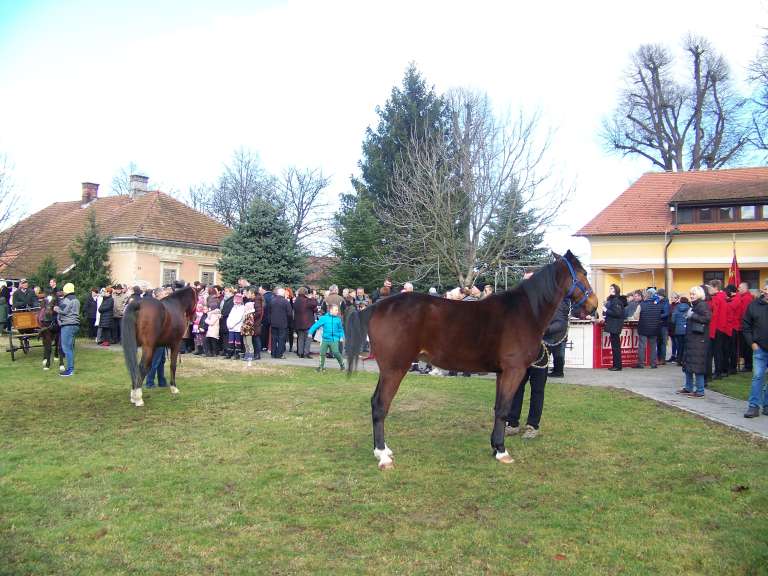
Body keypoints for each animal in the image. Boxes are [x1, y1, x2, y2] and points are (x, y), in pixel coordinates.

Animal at [344, 251, 596, 468]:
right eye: (583, 273)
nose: (594, 305)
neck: (525, 311)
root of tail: (376, 306)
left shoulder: (503, 372)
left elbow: (498, 407)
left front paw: (495, 446)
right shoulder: (514, 370)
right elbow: (503, 409)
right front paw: (502, 451)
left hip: (388, 370)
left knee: (376, 403)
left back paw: (384, 450)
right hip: (395, 369)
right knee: (380, 405)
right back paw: (382, 456)